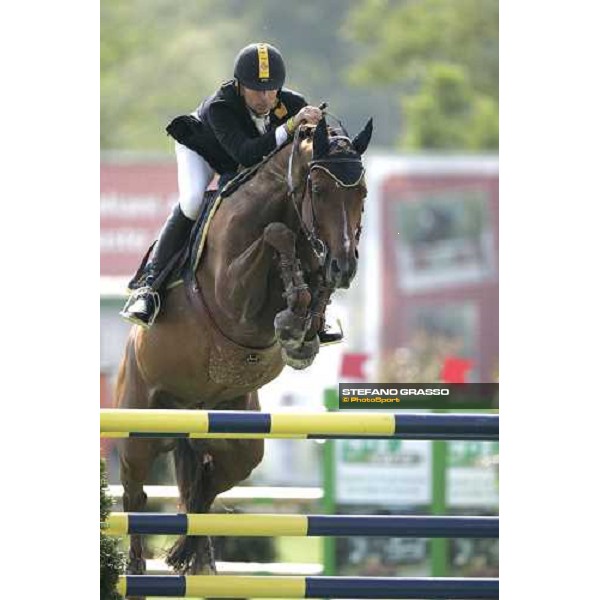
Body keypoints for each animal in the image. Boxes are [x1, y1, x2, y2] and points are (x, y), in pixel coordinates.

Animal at [115, 117, 372, 580]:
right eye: (319, 190)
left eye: (361, 191)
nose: (344, 267)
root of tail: (191, 410)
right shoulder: (234, 298)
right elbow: (276, 237)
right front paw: (293, 318)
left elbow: (307, 280)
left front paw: (304, 328)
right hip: (138, 430)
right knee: (135, 498)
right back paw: (140, 572)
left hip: (238, 439)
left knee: (206, 486)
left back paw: (193, 553)